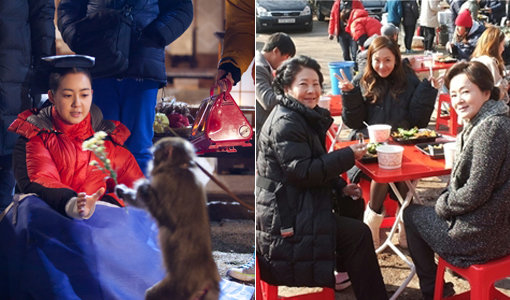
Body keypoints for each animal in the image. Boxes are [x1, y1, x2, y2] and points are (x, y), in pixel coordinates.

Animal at [117, 137, 221, 298]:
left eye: (156, 155)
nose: (152, 161)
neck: (178, 167)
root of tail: (208, 276)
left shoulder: (164, 181)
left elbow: (168, 221)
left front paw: (143, 189)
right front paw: (121, 190)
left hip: (180, 287)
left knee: (153, 294)